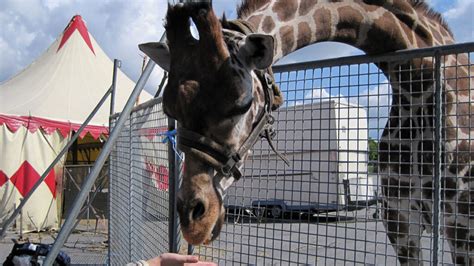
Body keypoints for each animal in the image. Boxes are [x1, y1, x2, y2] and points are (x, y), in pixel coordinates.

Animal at [141, 1, 474, 264]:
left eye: (242, 101)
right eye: (170, 109)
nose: (193, 221)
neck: (415, 82)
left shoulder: (461, 222)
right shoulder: (400, 219)